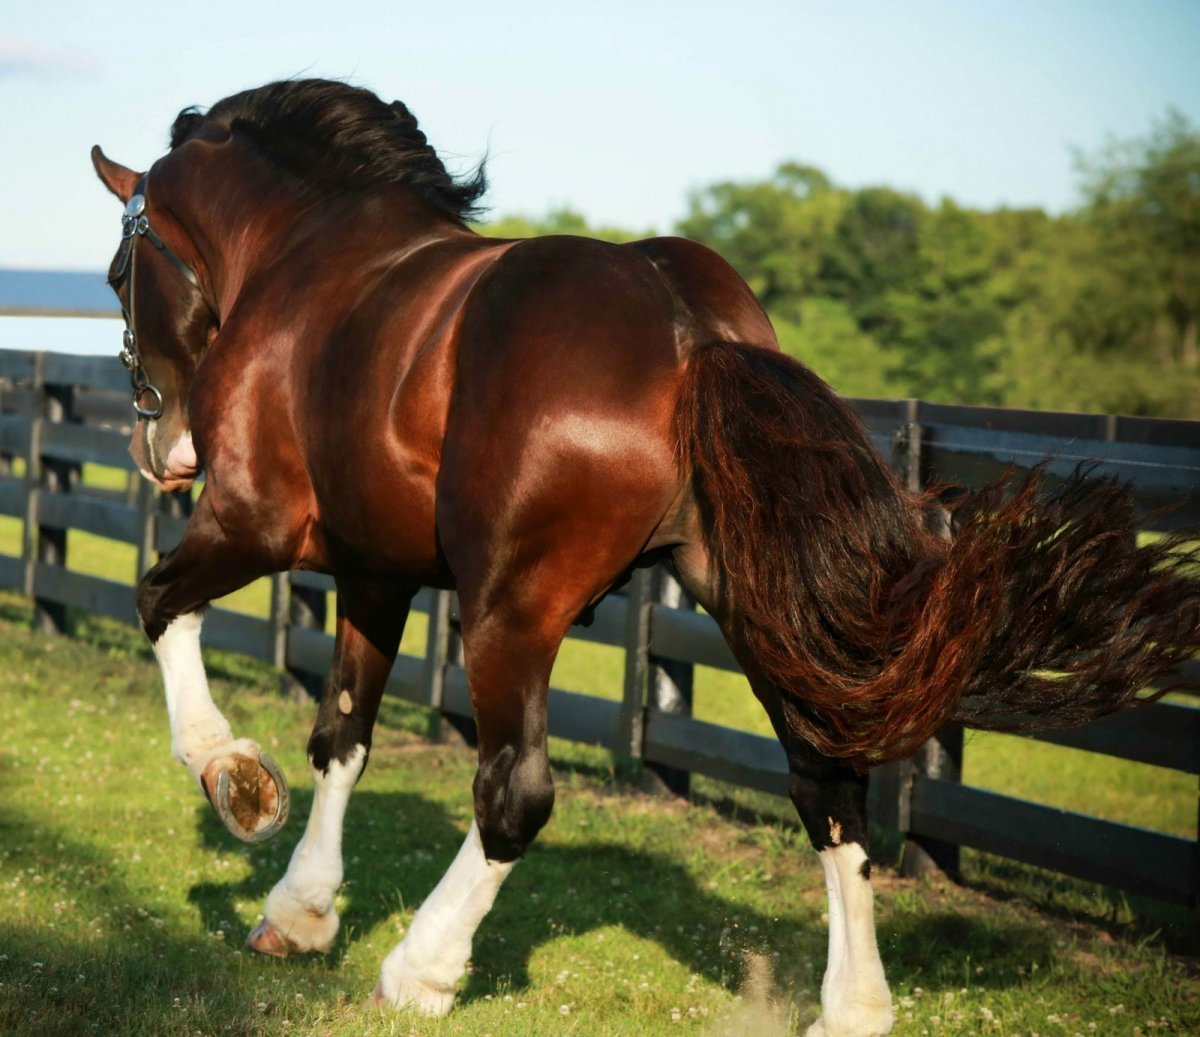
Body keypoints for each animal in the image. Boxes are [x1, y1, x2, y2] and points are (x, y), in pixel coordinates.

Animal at [91, 78, 1199, 1036]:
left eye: (115, 275)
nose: (160, 449)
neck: (315, 263)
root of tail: (688, 330)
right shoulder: (376, 571)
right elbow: (342, 735)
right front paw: (302, 908)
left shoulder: (254, 524)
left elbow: (159, 604)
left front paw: (235, 780)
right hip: (753, 608)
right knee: (827, 784)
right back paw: (854, 1007)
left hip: (513, 610)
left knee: (516, 792)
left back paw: (420, 970)